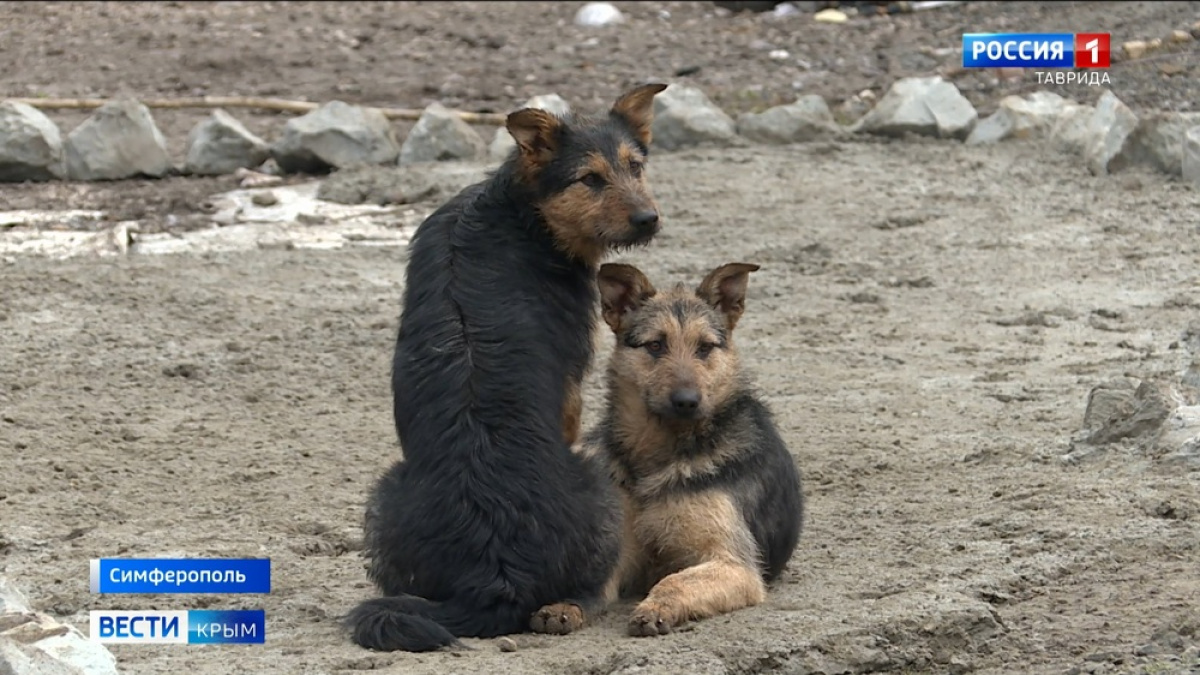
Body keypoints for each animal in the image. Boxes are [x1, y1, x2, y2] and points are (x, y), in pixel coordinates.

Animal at [348, 81, 672, 648]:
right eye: (590, 178)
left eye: (636, 166)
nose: (648, 220)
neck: (522, 212)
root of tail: (495, 574)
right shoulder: (571, 393)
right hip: (599, 486)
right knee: (593, 588)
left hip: (387, 494)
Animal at [583, 260, 806, 634]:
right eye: (655, 345)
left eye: (704, 348)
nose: (686, 401)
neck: (662, 454)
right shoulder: (623, 550)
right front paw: (564, 607)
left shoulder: (734, 563)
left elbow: (676, 580)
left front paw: (656, 608)